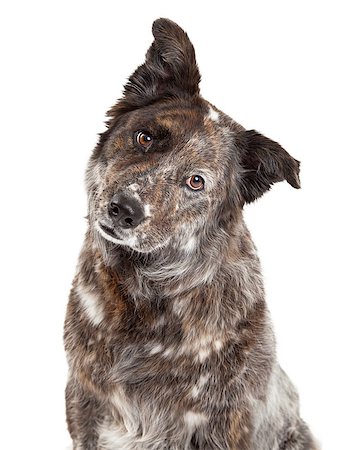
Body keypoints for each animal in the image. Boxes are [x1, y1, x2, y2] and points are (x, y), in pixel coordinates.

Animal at [64, 17, 318, 450]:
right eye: (146, 137)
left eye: (195, 181)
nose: (124, 209)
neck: (147, 299)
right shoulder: (83, 403)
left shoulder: (226, 423)